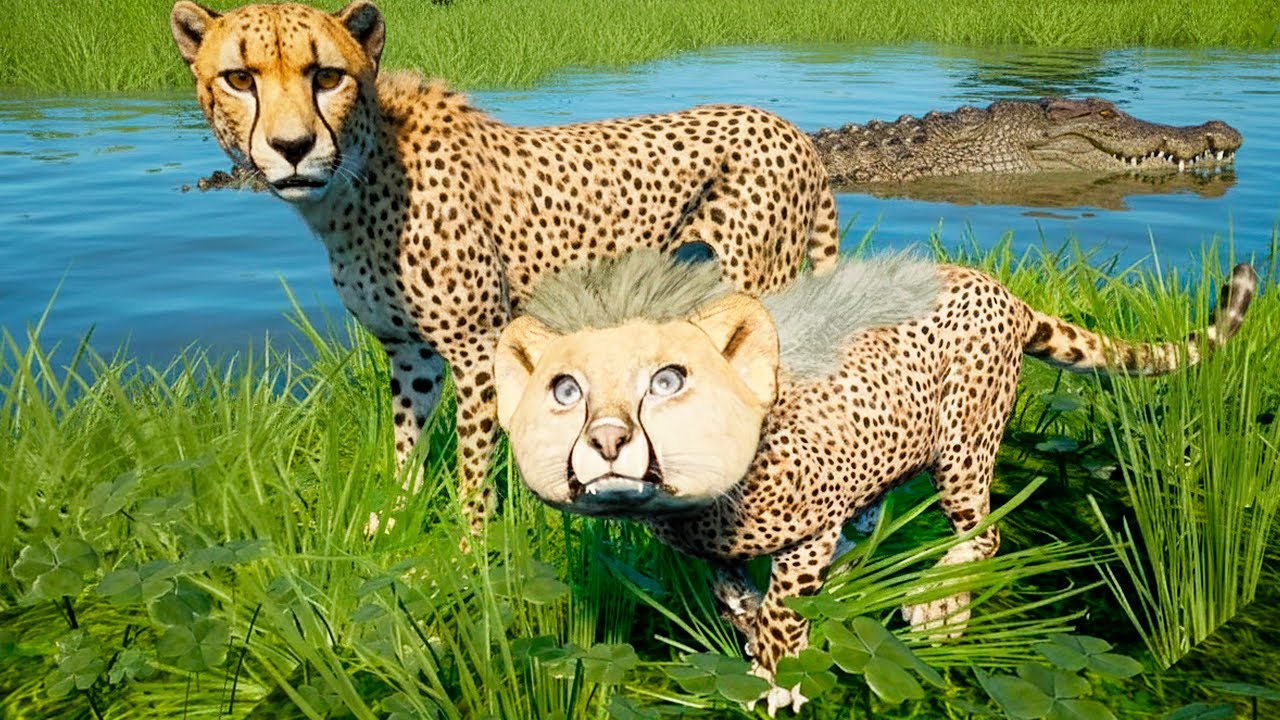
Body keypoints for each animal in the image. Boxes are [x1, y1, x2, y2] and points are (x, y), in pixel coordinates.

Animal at [169, 1, 841, 535]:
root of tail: (790, 130)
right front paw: (397, 520)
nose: (293, 148)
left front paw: (472, 552)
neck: (355, 182)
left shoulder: (477, 345)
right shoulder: (407, 351)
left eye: (327, 76)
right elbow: (406, 443)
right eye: (239, 78)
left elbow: (473, 464)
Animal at [493, 250, 1257, 715]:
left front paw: (778, 680)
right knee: (879, 522)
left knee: (984, 534)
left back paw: (936, 607)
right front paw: (752, 635)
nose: (607, 441)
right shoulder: (726, 550)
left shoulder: (808, 528)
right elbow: (735, 595)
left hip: (964, 451)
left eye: (666, 381)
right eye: (566, 389)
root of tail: (1000, 289)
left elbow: (782, 613)